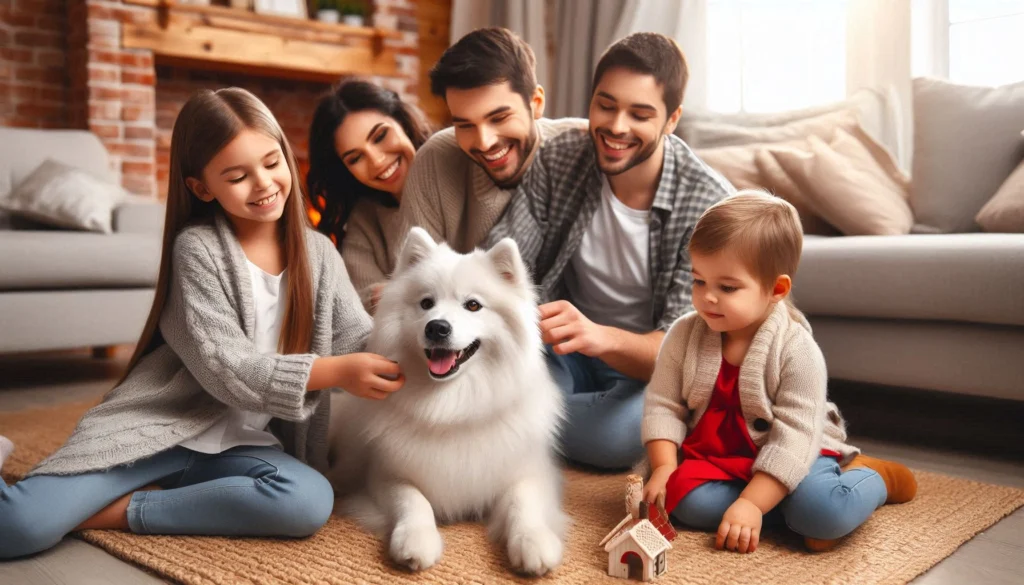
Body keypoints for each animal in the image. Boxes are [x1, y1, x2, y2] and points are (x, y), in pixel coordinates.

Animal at [329, 227, 565, 577]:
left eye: (473, 305)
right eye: (426, 303)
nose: (437, 327)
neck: (452, 407)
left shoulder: (530, 471)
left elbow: (523, 501)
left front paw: (533, 542)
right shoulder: (385, 474)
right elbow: (413, 499)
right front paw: (416, 540)